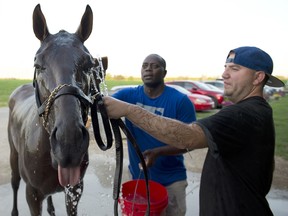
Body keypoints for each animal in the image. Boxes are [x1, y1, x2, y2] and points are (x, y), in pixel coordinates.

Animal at [7, 3, 107, 216]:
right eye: (37, 64)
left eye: (89, 64)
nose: (69, 142)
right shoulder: (32, 195)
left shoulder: (74, 190)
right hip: (13, 156)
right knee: (14, 183)